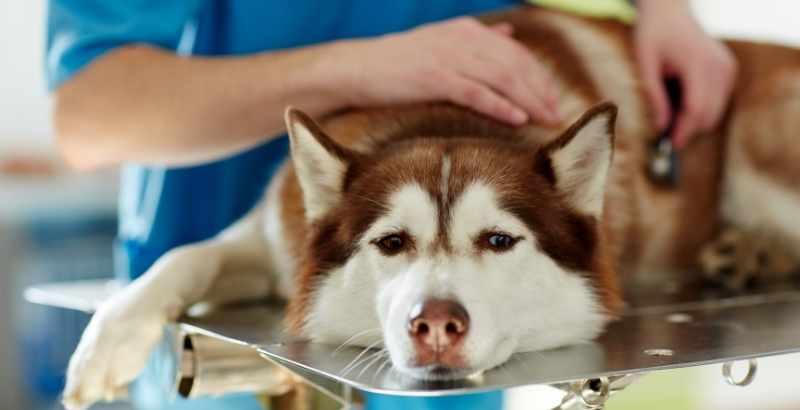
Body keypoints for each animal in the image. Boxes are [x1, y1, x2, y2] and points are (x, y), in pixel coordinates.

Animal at [61, 6, 800, 410]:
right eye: (392, 243)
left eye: (499, 241)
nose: (435, 324)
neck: (441, 115)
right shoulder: (274, 236)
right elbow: (183, 256)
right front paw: (107, 342)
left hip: (761, 131)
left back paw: (754, 251)